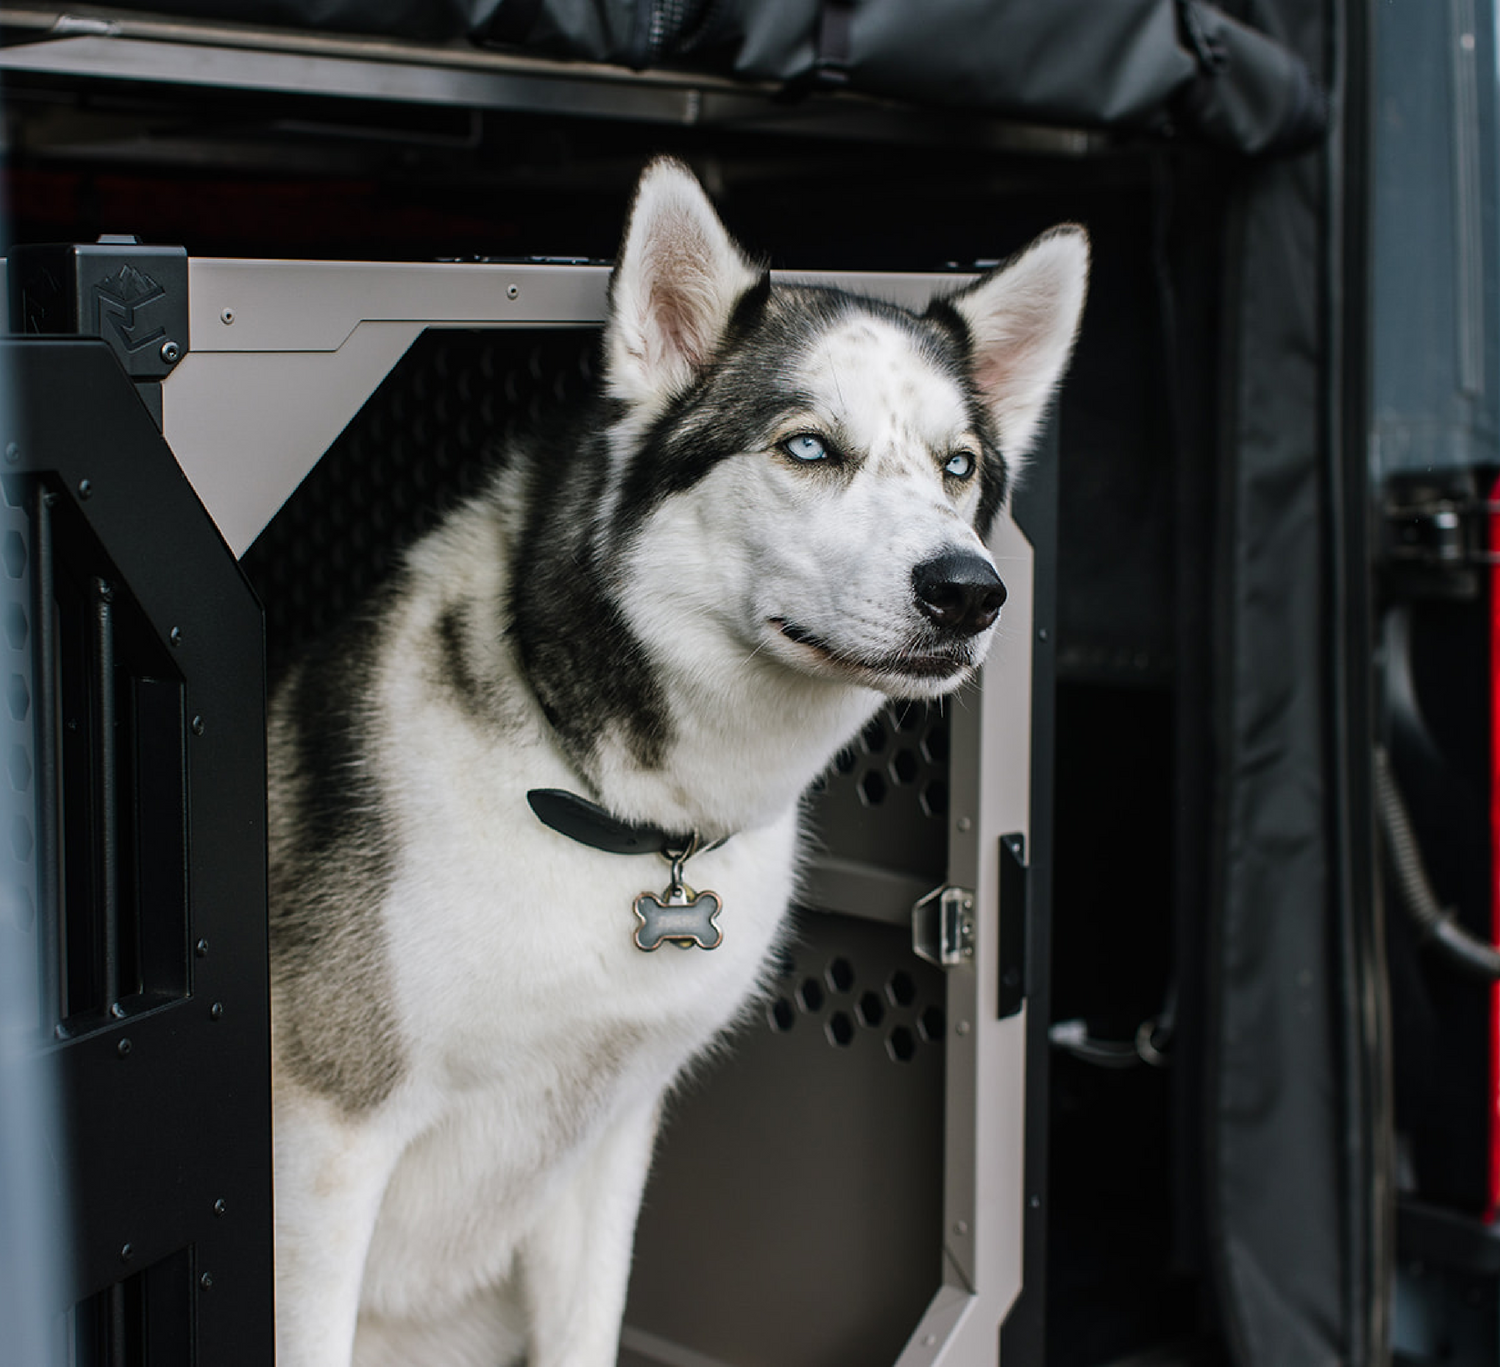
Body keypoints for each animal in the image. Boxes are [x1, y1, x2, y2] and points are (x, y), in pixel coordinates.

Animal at [270, 160, 1086, 1367]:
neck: (604, 809)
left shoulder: (608, 1136)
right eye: (808, 447)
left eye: (960, 467)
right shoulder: (327, 1145)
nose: (971, 590)